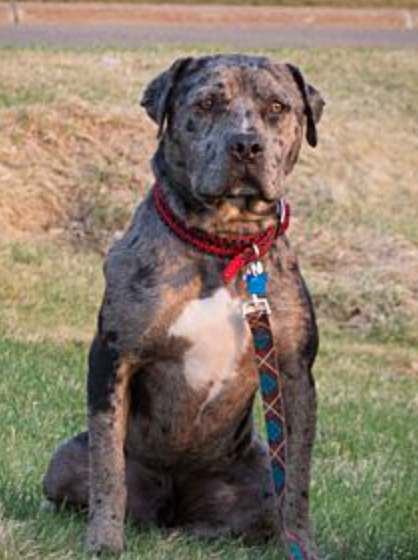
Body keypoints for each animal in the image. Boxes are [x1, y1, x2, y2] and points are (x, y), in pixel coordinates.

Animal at [45, 53, 326, 560]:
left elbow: (296, 478)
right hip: (67, 458)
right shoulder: (114, 355)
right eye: (207, 103)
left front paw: (301, 544)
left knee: (251, 510)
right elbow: (108, 467)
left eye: (277, 107)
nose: (246, 145)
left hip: (254, 475)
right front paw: (103, 542)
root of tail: (171, 506)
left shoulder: (295, 374)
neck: (223, 242)